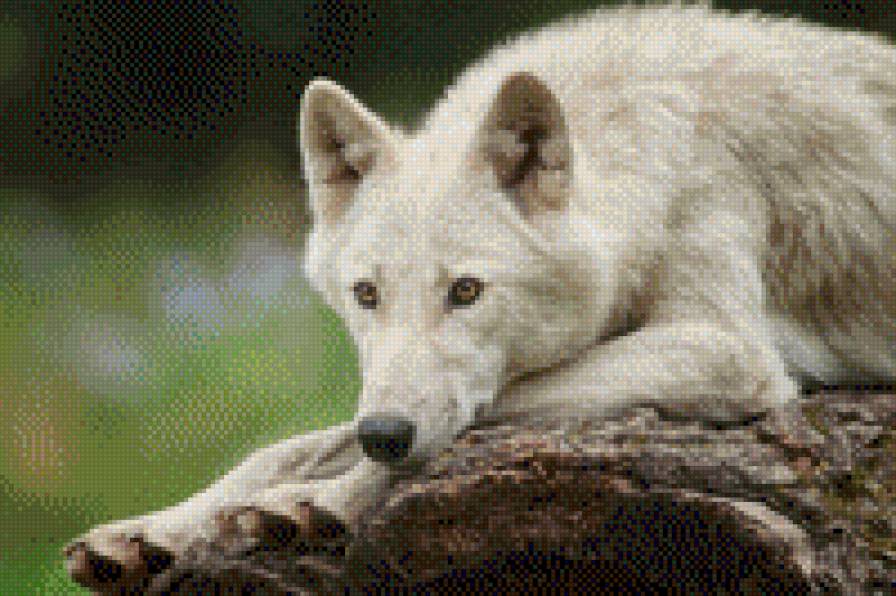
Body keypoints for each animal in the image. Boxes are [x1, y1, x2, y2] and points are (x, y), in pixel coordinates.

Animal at [65, 4, 896, 590]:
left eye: (466, 291)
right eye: (366, 294)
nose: (385, 434)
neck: (647, 162)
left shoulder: (727, 351)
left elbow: (479, 416)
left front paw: (335, 496)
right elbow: (286, 445)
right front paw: (154, 531)